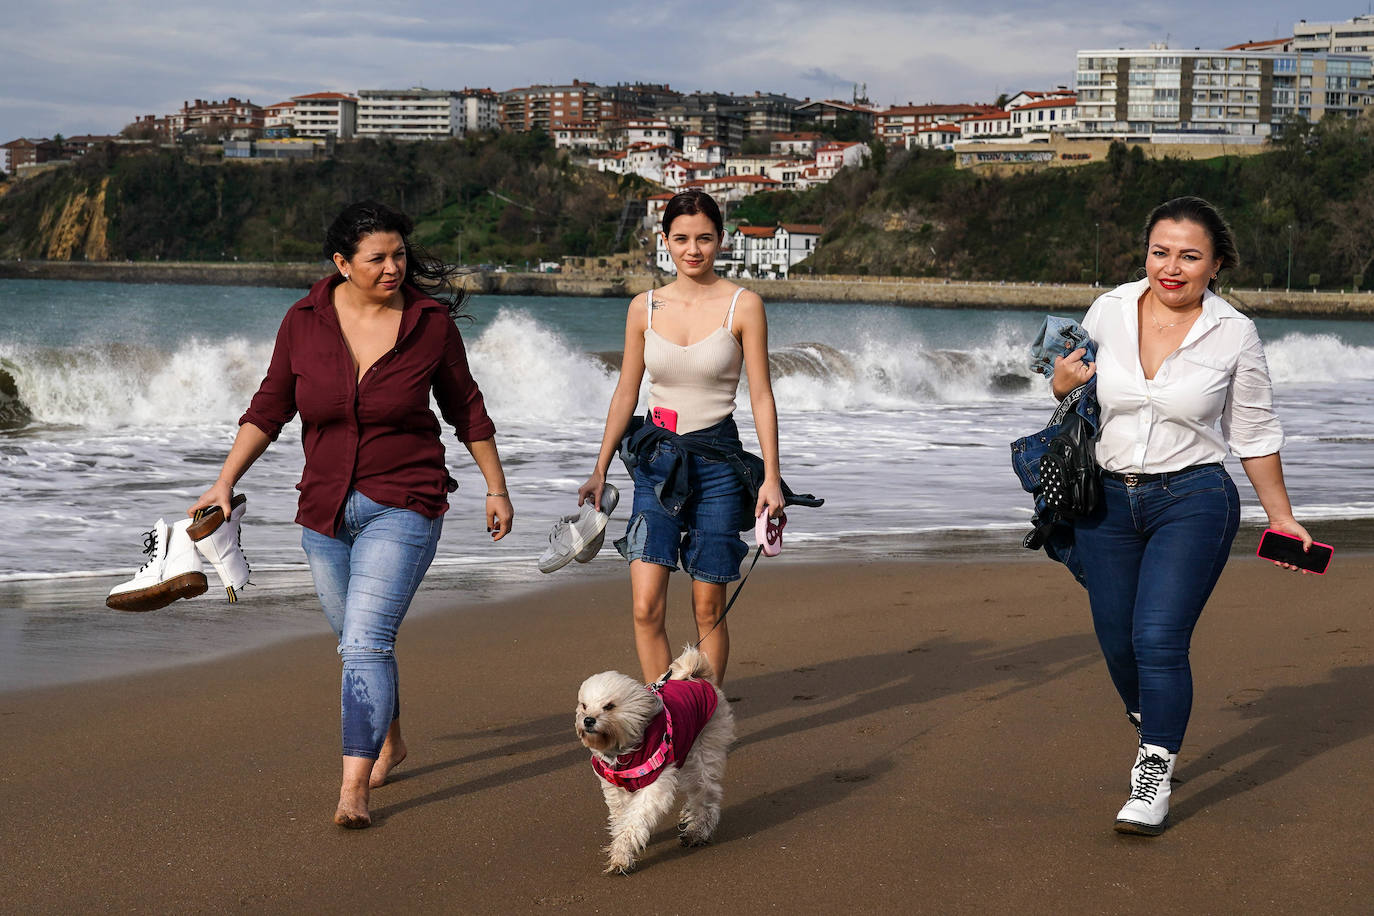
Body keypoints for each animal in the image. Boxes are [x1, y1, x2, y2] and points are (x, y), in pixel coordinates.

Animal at [574, 645, 736, 873]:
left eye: (609, 706)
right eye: (584, 706)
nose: (588, 720)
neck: (624, 751)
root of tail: (697, 677)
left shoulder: (654, 788)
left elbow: (634, 821)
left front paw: (621, 854)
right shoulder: (616, 789)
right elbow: (622, 817)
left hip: (701, 756)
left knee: (707, 795)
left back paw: (697, 831)